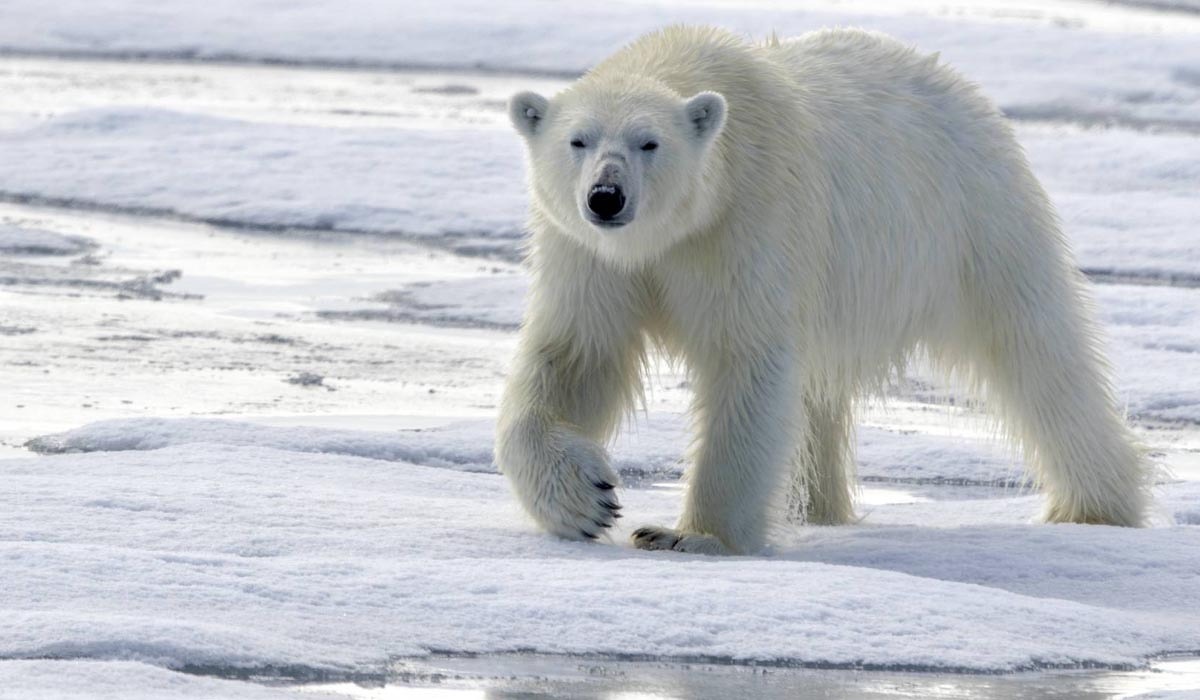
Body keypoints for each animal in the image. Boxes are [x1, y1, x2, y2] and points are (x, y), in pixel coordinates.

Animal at [496, 25, 1152, 552]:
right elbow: (577, 354)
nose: (606, 197)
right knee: (819, 399)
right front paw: (586, 499)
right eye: (578, 140)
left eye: (649, 142)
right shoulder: (591, 258)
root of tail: (955, 82)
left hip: (973, 223)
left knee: (1039, 355)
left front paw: (691, 536)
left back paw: (1096, 507)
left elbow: (747, 361)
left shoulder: (748, 220)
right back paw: (818, 505)